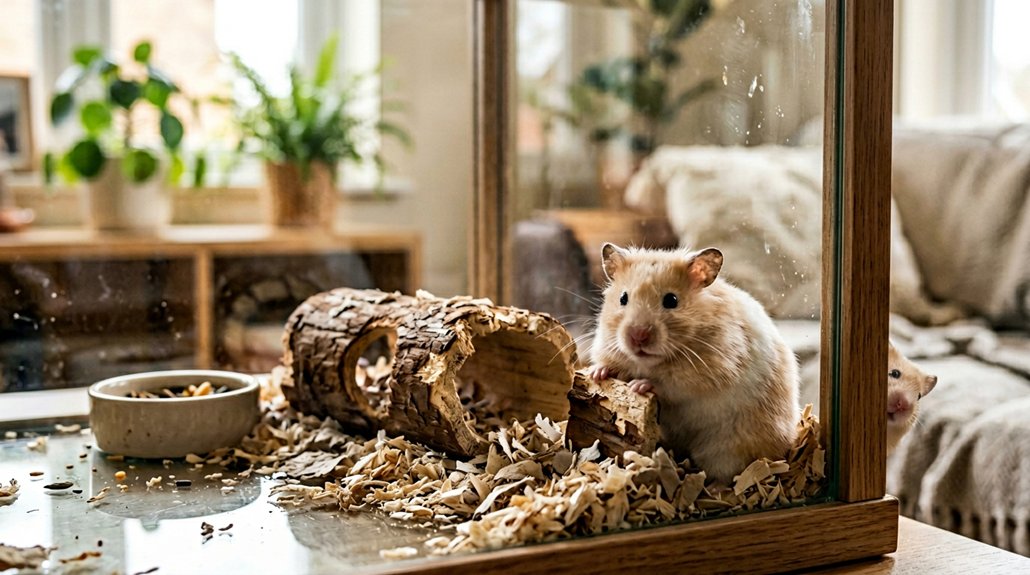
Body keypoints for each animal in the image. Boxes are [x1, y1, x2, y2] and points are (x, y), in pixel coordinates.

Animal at [589, 243, 799, 484]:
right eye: (623, 298)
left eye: (671, 300)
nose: (638, 337)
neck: (649, 362)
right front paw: (598, 373)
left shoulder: (710, 370)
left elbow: (670, 384)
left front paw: (639, 385)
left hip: (728, 450)